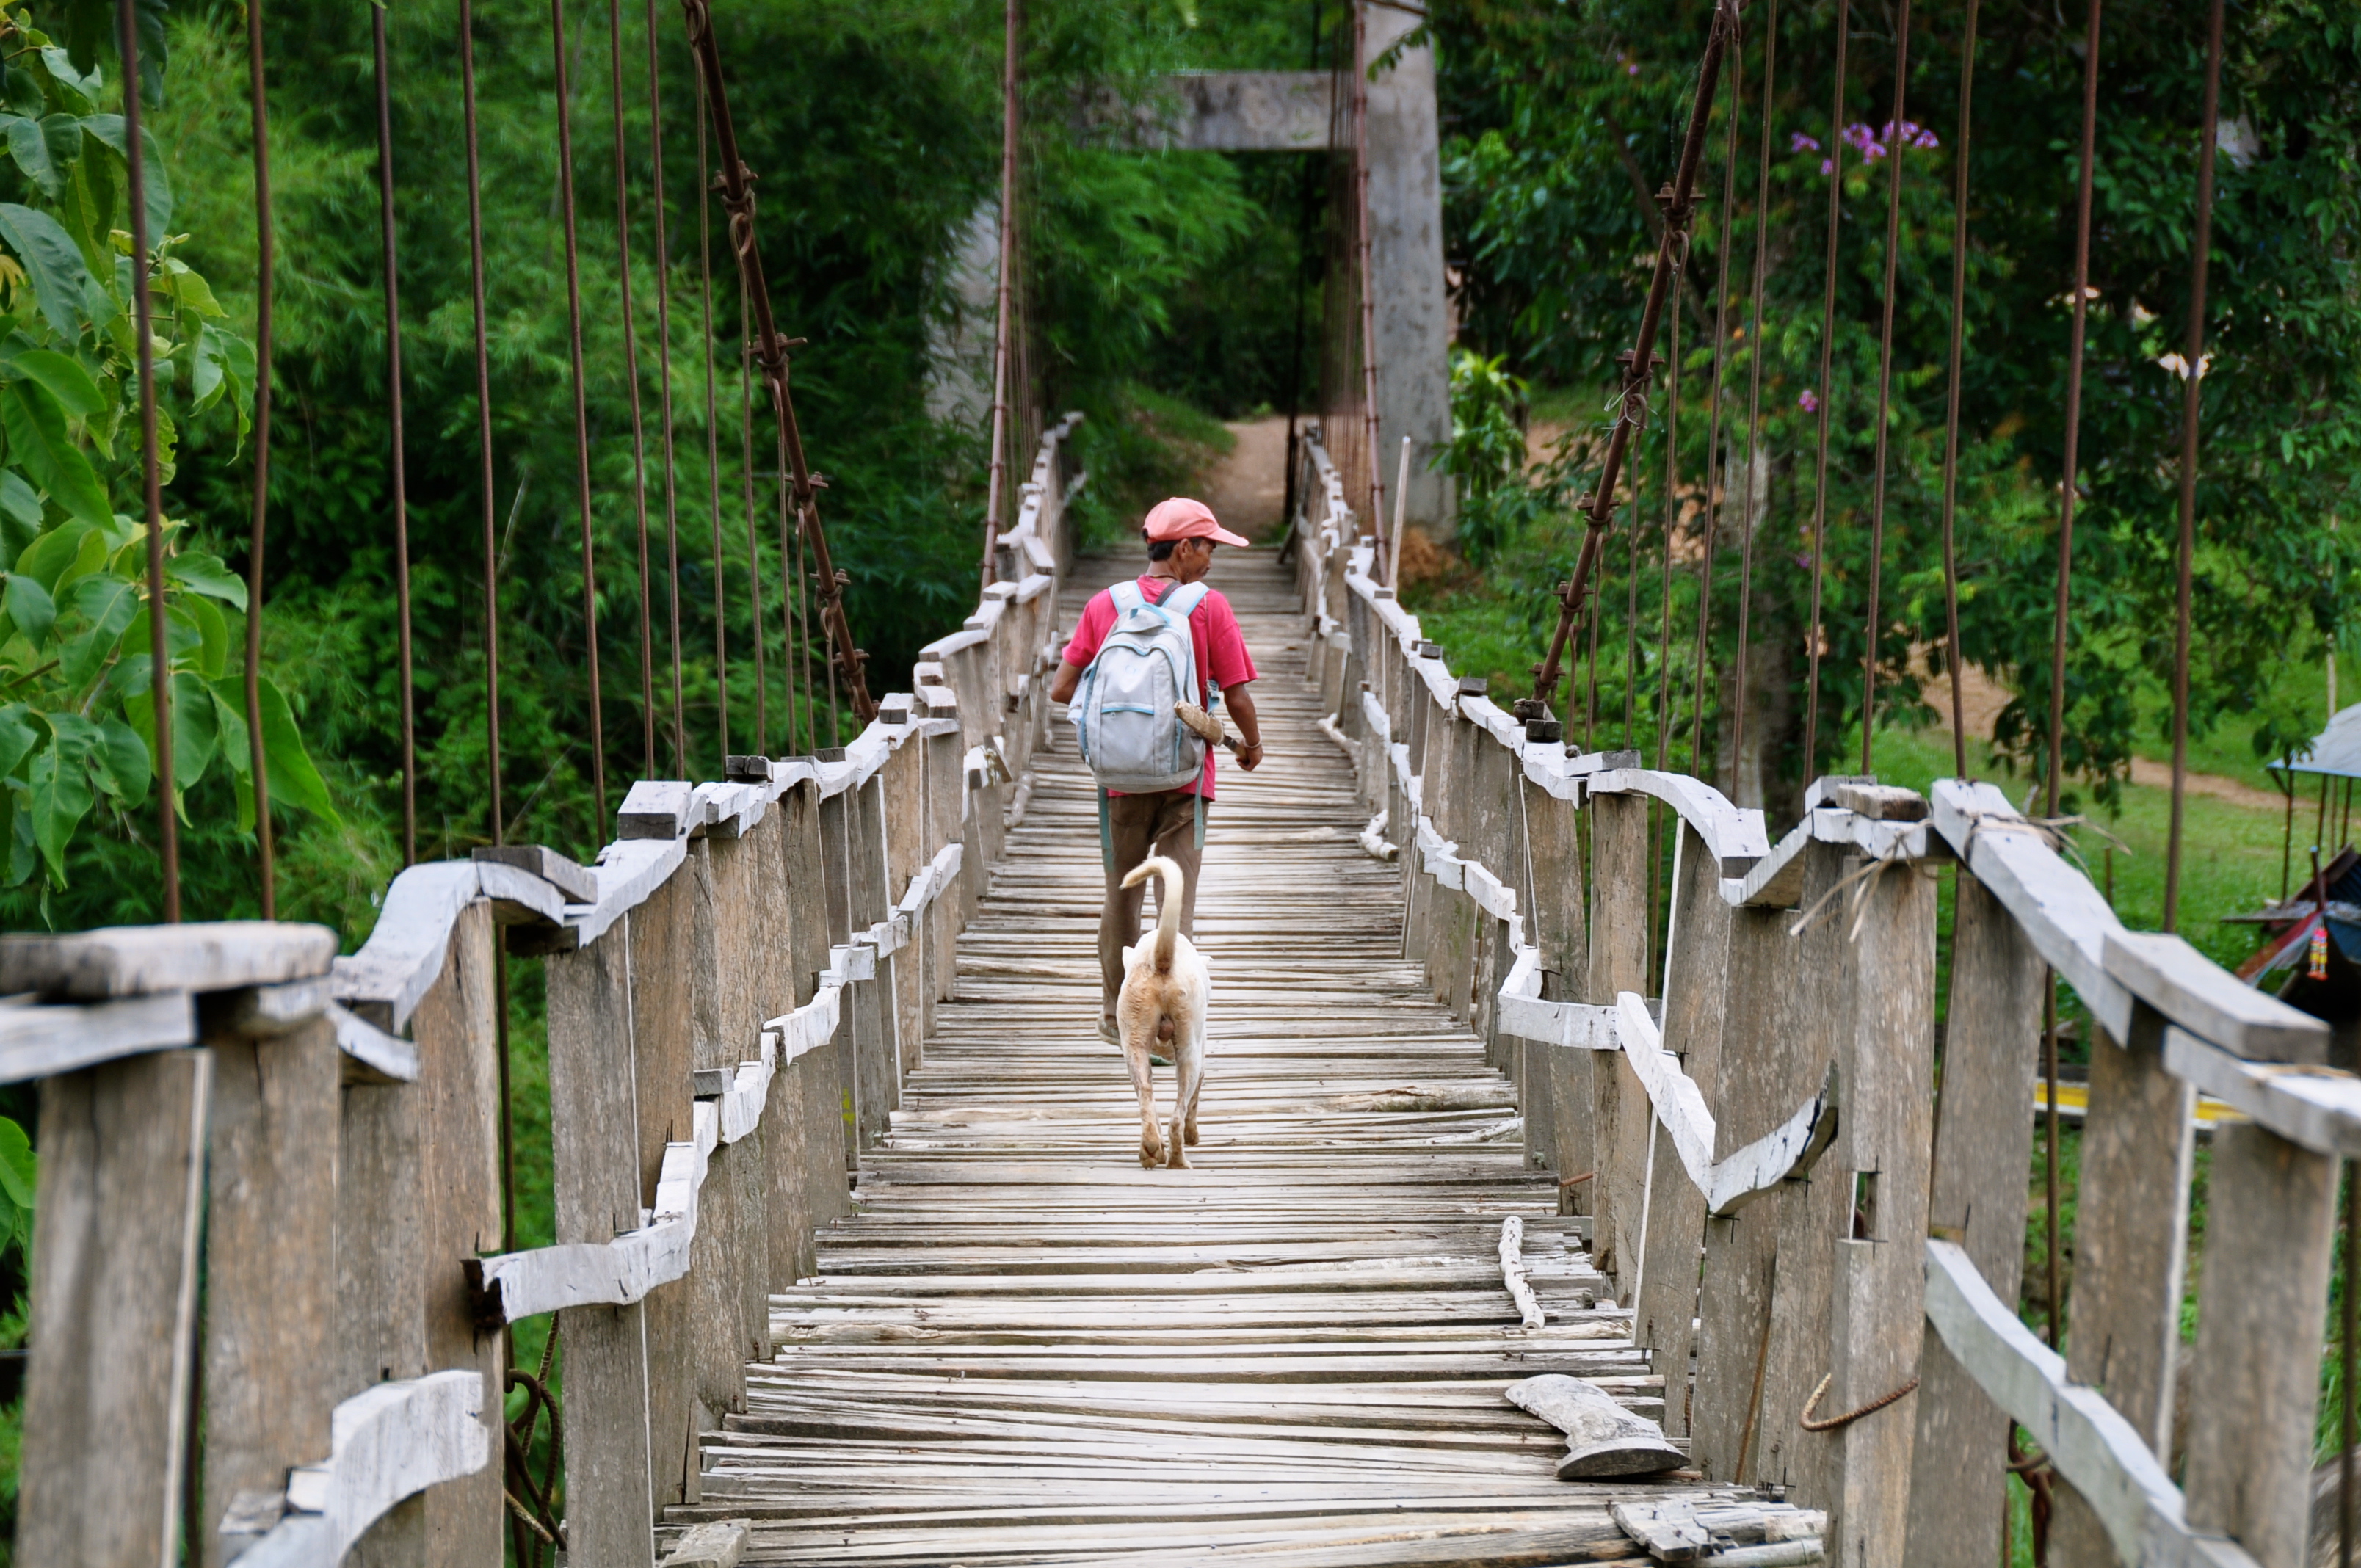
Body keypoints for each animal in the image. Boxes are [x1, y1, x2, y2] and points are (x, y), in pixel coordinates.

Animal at [1115, 855, 1210, 1169]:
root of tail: (1161, 961)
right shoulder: (1201, 1058)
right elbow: (1193, 1102)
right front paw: (1194, 1136)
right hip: (1189, 1050)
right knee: (1177, 1116)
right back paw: (1178, 1161)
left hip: (1134, 1044)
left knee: (1145, 1096)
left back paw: (1151, 1149)